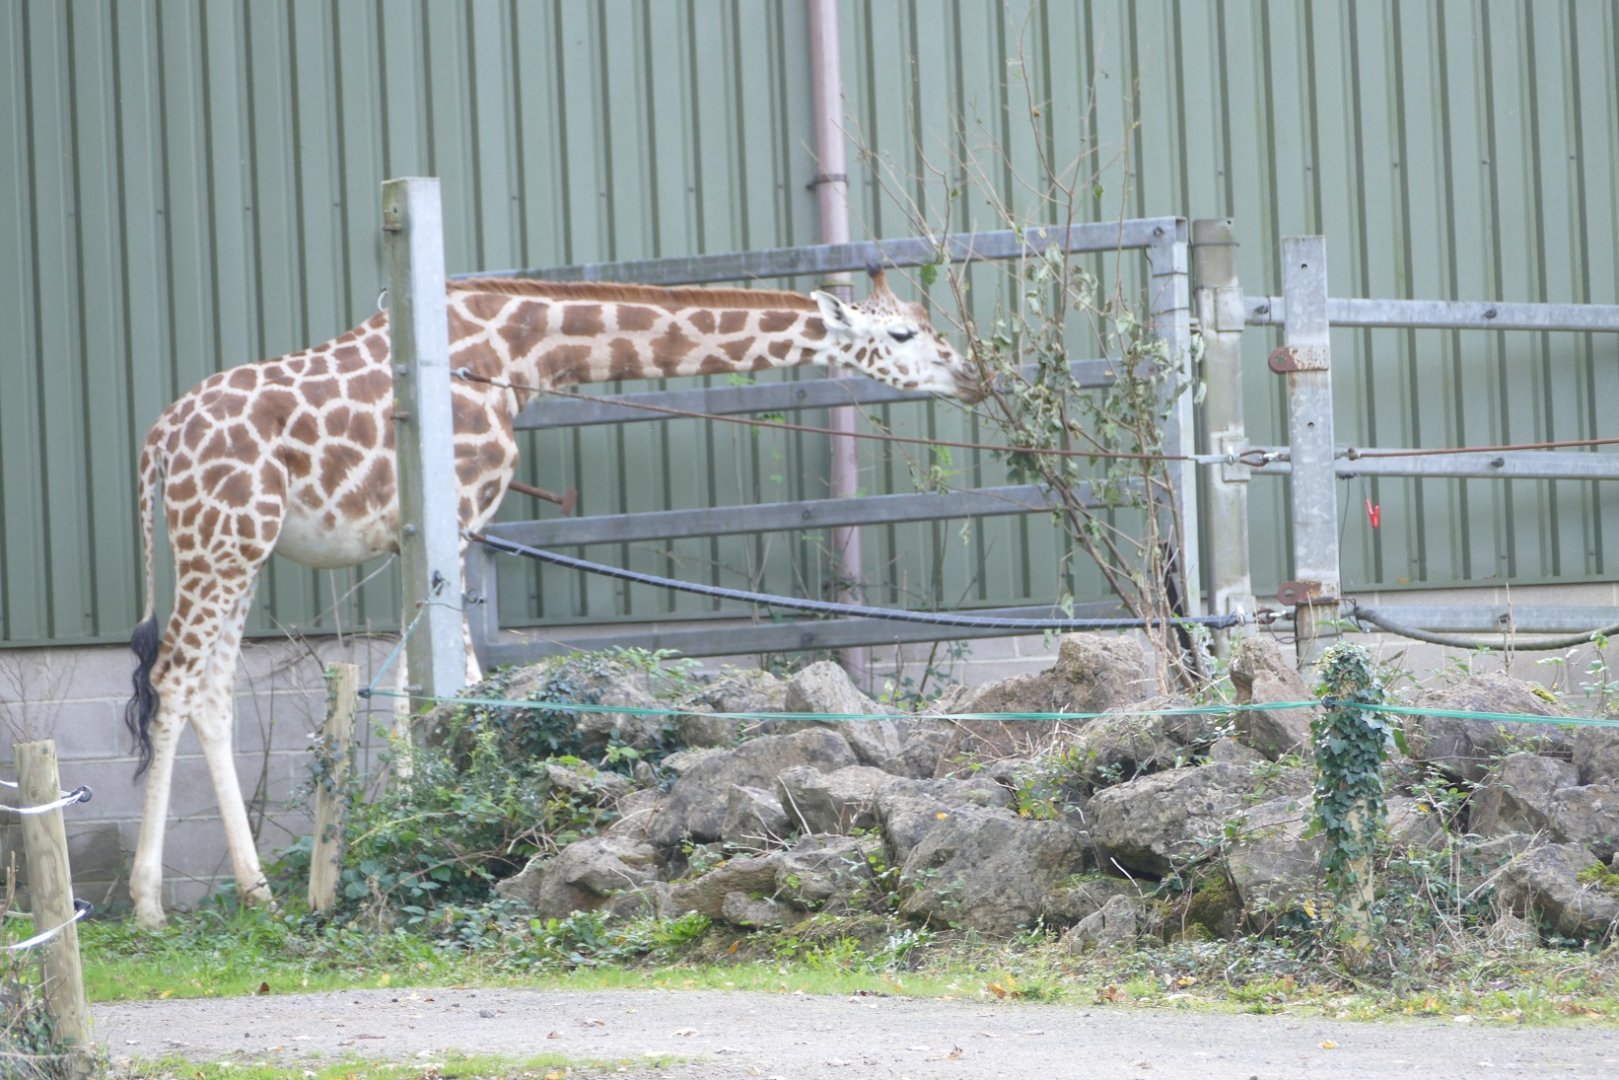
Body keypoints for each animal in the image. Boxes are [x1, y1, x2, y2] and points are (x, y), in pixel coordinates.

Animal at [124, 268, 981, 928]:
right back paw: (148, 905)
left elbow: (406, 692)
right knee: (173, 680)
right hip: (222, 537)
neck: (518, 352)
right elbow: (462, 684)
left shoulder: (415, 534)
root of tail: (158, 441)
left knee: (211, 691)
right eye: (901, 335)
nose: (973, 375)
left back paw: (258, 893)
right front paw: (456, 814)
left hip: (242, 546)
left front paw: (409, 812)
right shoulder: (459, 517)